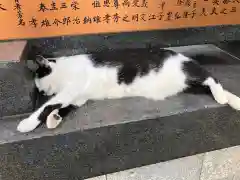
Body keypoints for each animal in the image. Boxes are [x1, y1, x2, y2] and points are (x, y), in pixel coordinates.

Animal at [17, 47, 240, 132]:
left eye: (41, 90)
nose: (43, 93)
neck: (64, 69)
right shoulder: (78, 97)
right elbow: (65, 107)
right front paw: (54, 118)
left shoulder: (70, 90)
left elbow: (47, 106)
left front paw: (28, 123)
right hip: (189, 85)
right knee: (208, 86)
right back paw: (230, 99)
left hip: (188, 72)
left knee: (212, 78)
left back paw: (221, 97)